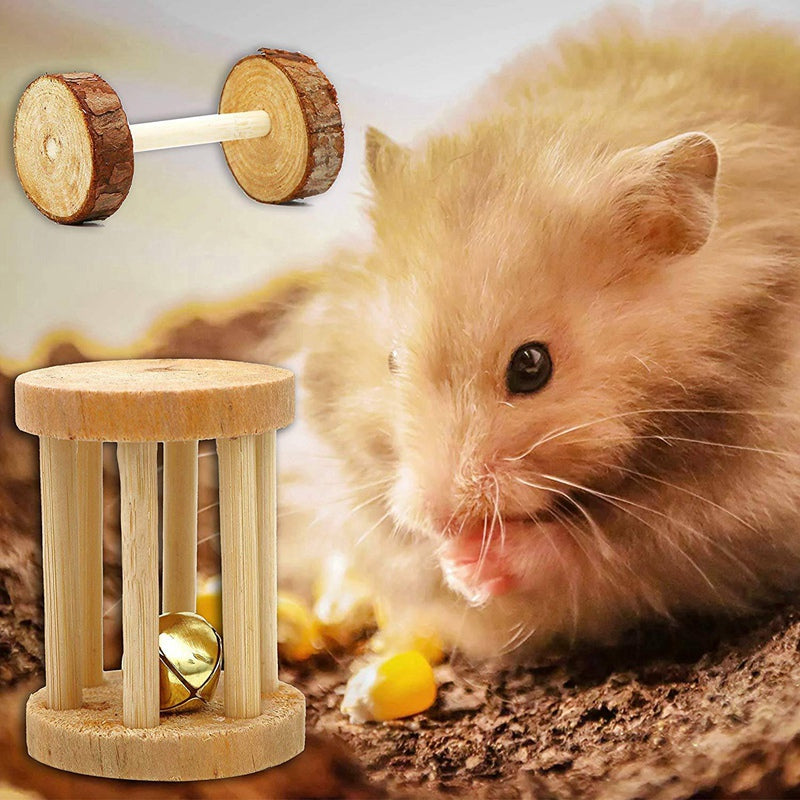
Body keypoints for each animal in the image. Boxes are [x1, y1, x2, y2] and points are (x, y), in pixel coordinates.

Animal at [261, 14, 800, 660]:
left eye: (531, 366)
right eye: (390, 361)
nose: (444, 519)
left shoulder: (745, 504)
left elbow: (614, 549)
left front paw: (478, 561)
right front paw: (451, 564)